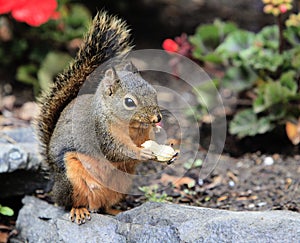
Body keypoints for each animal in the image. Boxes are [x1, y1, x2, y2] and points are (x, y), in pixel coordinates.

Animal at [35, 11, 162, 224]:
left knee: (104, 204)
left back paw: (115, 211)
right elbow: (115, 150)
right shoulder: (100, 133)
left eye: (154, 92)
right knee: (71, 202)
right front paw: (140, 153)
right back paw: (79, 210)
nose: (157, 118)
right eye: (129, 102)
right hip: (71, 178)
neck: (131, 126)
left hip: (121, 182)